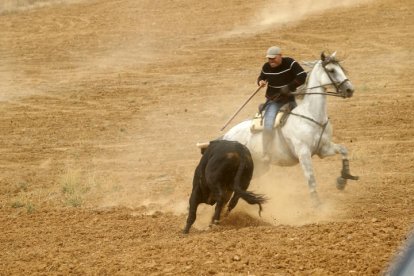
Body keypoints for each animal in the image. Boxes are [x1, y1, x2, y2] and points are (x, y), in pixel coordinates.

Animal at [220, 51, 360, 203]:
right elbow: (311, 179)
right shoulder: (303, 153)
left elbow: (343, 150)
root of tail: (226, 137)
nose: (350, 89)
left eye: (341, 68)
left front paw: (343, 180)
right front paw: (317, 205)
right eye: (331, 70)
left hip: (258, 167)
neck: (311, 115)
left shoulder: (324, 148)